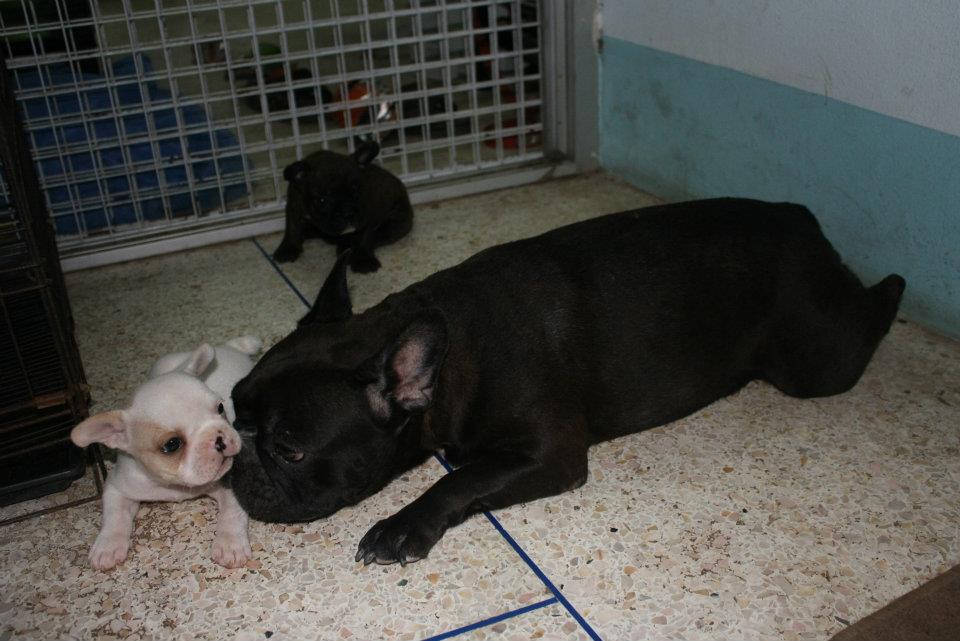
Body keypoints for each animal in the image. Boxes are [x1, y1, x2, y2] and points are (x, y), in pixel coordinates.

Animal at [70, 336, 261, 570]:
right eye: (172, 444)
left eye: (220, 408)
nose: (220, 439)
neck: (172, 484)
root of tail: (230, 347)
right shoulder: (118, 486)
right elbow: (115, 515)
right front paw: (108, 546)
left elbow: (232, 513)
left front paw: (230, 544)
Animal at [229, 199, 905, 566]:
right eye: (233, 407)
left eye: (289, 449)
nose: (235, 453)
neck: (453, 350)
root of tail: (800, 218)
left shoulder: (549, 454)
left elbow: (462, 481)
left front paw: (402, 526)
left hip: (814, 361)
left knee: (870, 313)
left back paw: (898, 286)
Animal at [273, 141, 413, 273]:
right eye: (322, 200)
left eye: (357, 193)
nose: (348, 212)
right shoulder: (294, 207)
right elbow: (292, 229)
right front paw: (287, 249)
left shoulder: (367, 217)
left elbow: (366, 237)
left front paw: (363, 259)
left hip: (397, 222)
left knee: (378, 236)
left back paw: (347, 246)